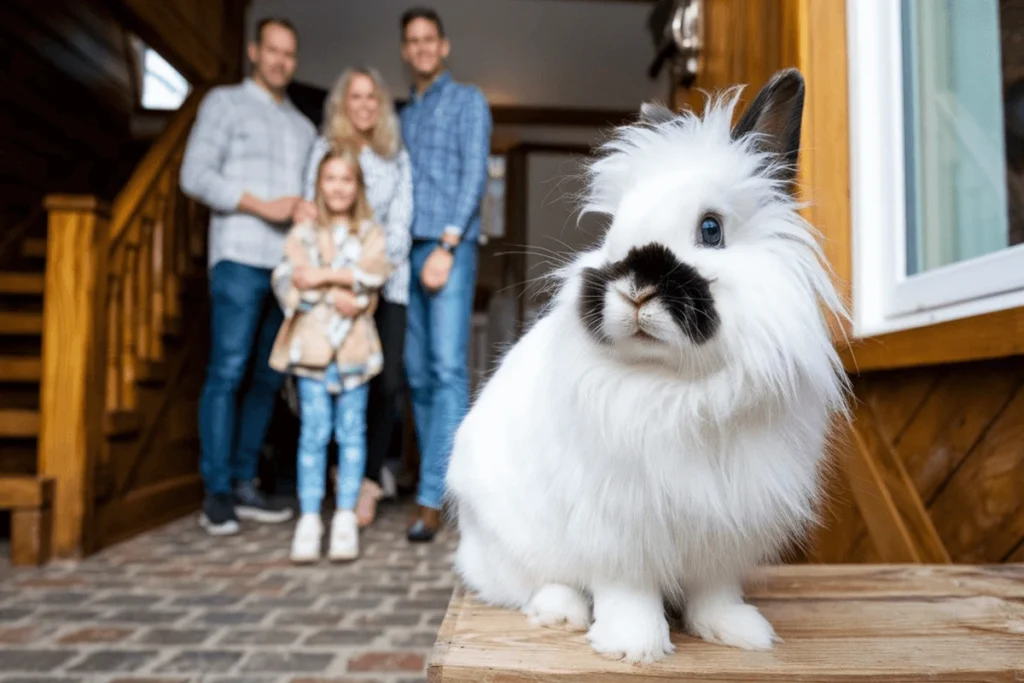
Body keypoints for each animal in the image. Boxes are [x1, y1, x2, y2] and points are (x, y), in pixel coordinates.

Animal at [446, 69, 847, 663]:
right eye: (614, 230)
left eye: (711, 229)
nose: (634, 287)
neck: (677, 385)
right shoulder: (616, 527)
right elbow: (627, 590)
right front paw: (632, 647)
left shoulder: (724, 527)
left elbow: (714, 589)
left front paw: (738, 631)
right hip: (511, 540)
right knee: (531, 583)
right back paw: (561, 612)